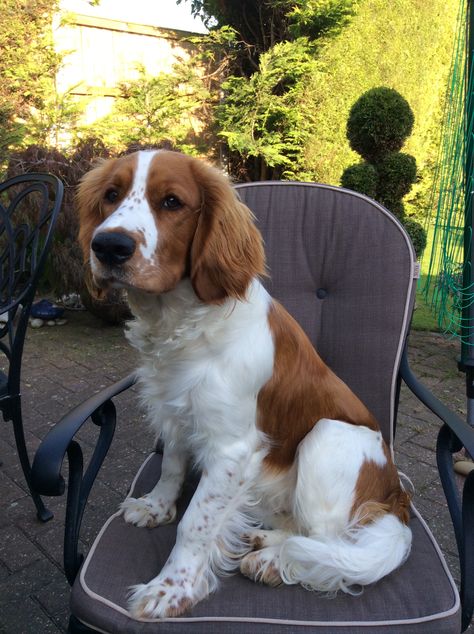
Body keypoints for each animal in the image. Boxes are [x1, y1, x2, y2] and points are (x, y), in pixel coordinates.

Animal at [78, 149, 412, 616]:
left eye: (172, 202)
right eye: (111, 195)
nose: (108, 246)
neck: (184, 322)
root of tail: (396, 498)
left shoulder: (231, 449)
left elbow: (195, 523)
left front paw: (172, 589)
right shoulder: (177, 412)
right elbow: (171, 466)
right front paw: (156, 507)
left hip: (328, 435)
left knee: (329, 539)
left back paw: (272, 560)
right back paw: (260, 537)